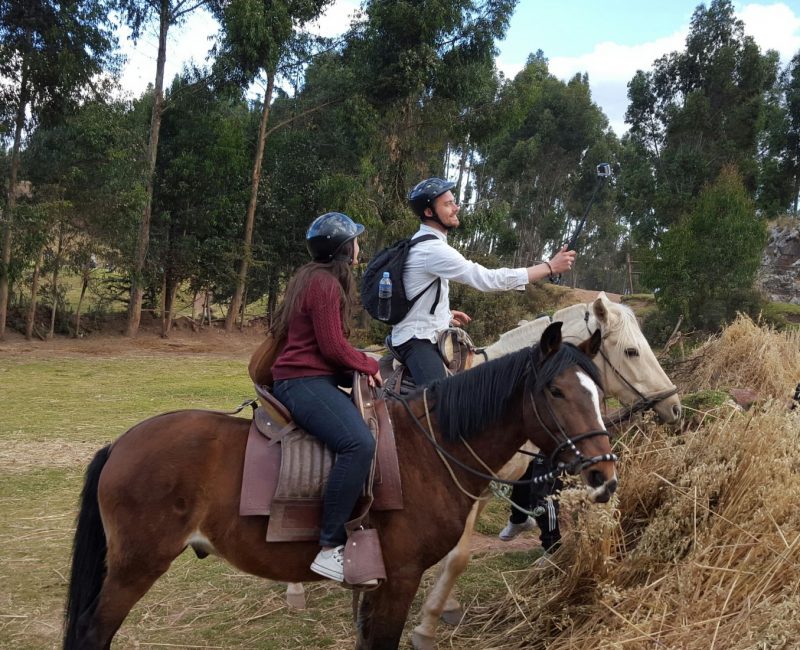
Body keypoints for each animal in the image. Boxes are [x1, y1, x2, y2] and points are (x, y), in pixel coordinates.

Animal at [65, 324, 616, 648]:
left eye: (598, 390)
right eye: (556, 390)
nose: (604, 475)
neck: (430, 451)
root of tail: (121, 444)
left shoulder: (376, 587)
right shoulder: (400, 579)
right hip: (137, 566)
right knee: (93, 632)